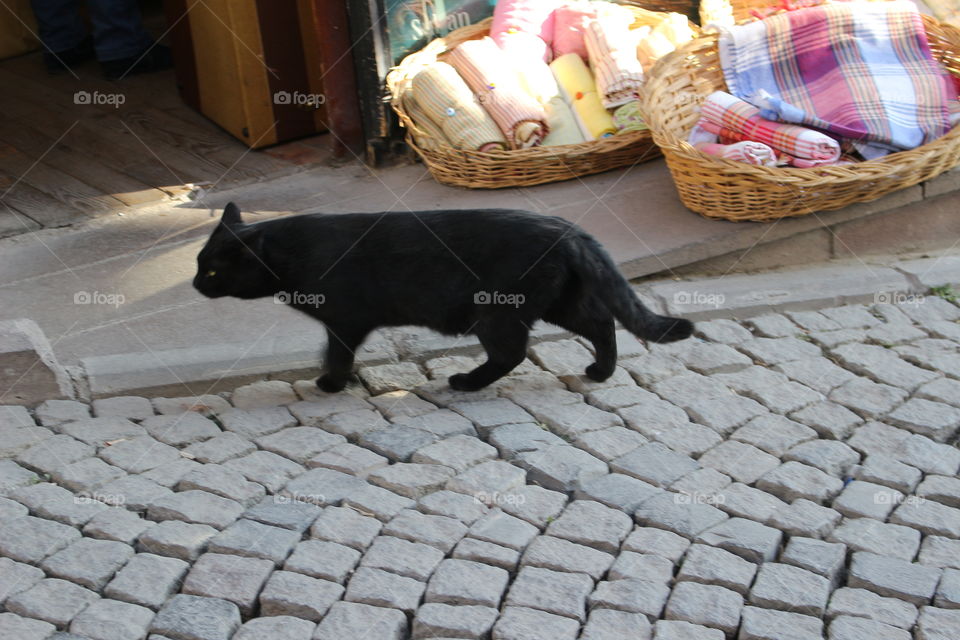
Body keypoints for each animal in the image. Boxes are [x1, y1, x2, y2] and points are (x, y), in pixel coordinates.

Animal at [191, 205, 692, 392]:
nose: (195, 284)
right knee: (602, 324)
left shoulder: (346, 321)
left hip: (498, 313)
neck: (297, 252)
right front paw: (341, 380)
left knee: (512, 353)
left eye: (213, 270)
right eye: (198, 264)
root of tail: (568, 228)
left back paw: (467, 382)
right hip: (558, 303)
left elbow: (336, 353)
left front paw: (332, 383)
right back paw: (600, 372)